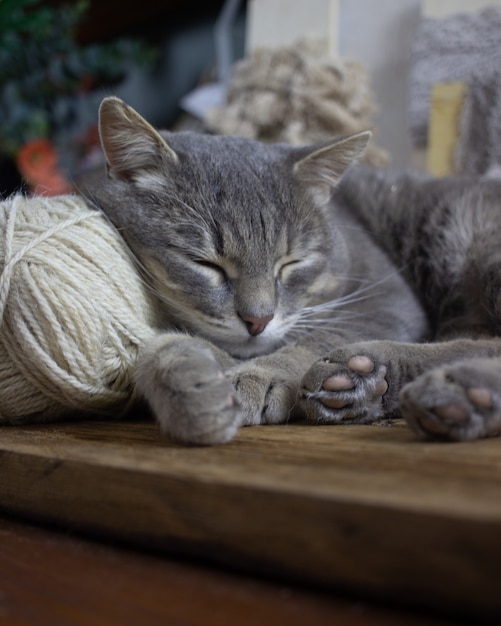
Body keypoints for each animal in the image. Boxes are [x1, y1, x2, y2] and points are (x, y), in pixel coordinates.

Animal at [85, 96, 500, 444]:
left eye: (291, 263)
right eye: (205, 264)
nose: (258, 320)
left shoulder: (387, 297)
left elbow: (314, 339)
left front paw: (262, 373)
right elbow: (160, 353)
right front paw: (189, 382)